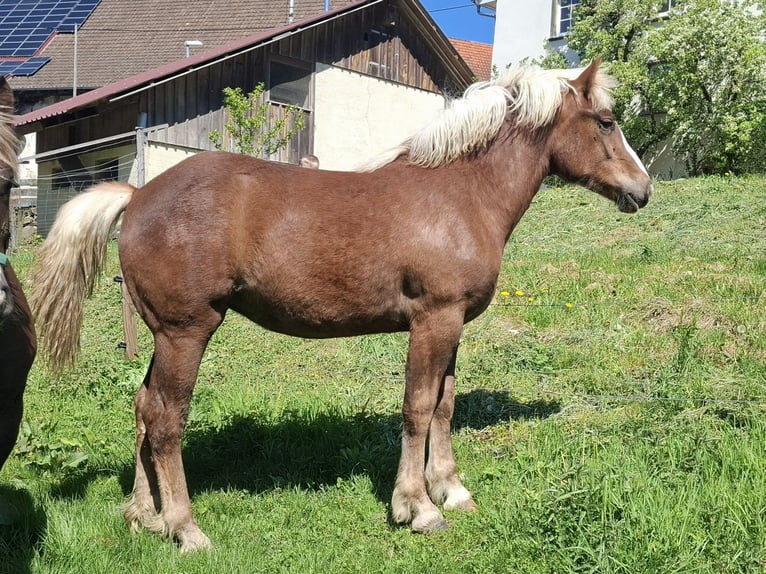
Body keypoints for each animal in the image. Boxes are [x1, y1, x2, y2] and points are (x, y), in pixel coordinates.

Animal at [30, 58, 652, 551]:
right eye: (606, 122)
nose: (642, 190)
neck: (460, 192)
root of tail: (137, 195)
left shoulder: (453, 325)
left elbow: (445, 406)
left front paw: (451, 490)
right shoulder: (433, 320)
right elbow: (417, 408)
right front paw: (417, 506)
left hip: (165, 336)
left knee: (141, 409)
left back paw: (144, 515)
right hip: (187, 331)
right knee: (165, 419)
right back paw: (185, 528)